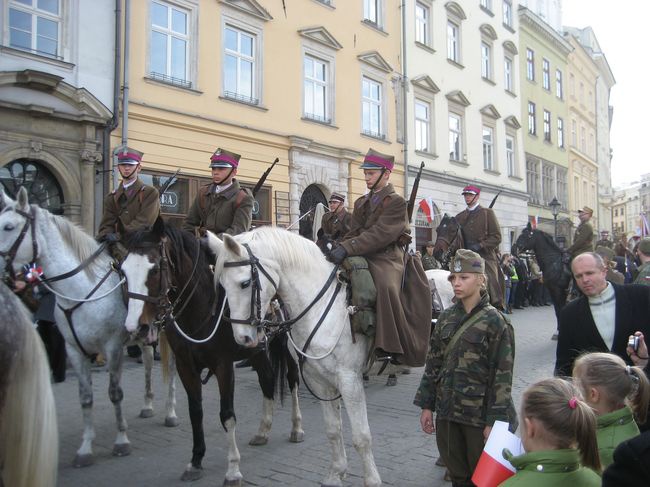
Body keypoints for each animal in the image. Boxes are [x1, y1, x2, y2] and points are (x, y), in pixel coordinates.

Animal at [206, 228, 380, 487]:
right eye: (222, 286)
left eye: (245, 283)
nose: (242, 338)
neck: (320, 305)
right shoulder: (320, 381)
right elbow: (333, 430)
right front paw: (336, 473)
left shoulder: (350, 381)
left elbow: (362, 436)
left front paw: (372, 480)